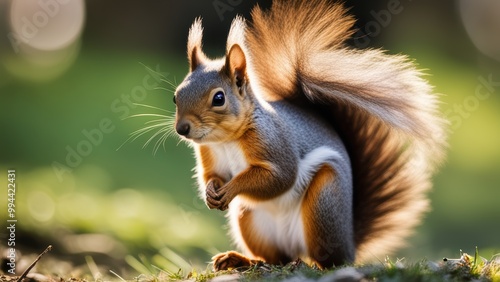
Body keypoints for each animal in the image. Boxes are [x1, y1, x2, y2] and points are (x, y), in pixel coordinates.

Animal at [173, 0, 450, 270]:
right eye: (176, 96)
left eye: (219, 98)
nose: (182, 128)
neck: (226, 140)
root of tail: (350, 243)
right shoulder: (209, 153)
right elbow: (213, 175)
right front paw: (210, 192)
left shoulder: (274, 142)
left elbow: (279, 177)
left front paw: (231, 189)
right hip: (249, 219)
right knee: (277, 259)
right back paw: (242, 260)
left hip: (323, 204)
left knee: (329, 260)